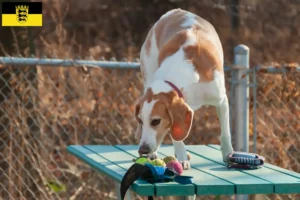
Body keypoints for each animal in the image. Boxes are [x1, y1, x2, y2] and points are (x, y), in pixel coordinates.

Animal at [134, 9, 234, 169]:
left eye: (156, 121)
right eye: (140, 121)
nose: (143, 150)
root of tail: (174, 11)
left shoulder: (222, 101)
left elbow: (225, 132)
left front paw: (228, 154)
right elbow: (176, 136)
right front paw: (181, 157)